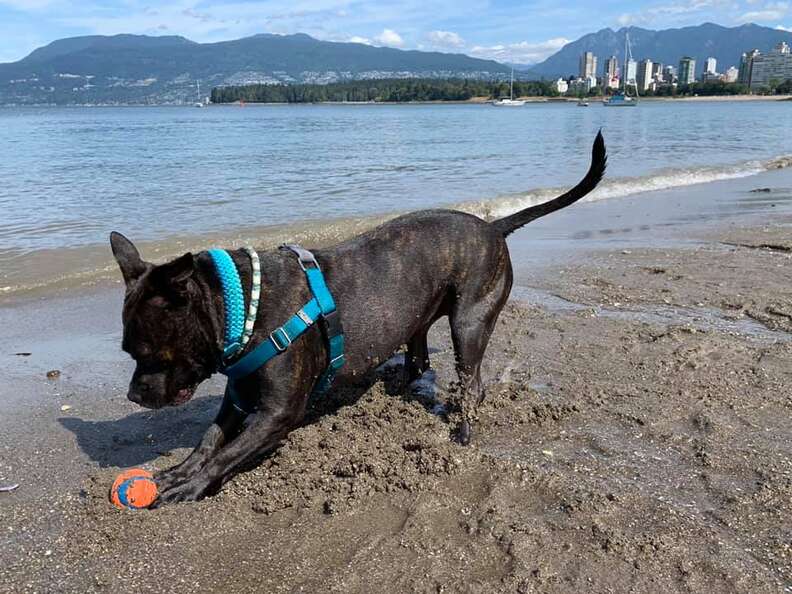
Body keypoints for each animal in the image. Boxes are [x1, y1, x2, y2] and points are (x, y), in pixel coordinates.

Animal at [111, 132, 608, 502]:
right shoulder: (237, 396)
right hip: (419, 317)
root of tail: (492, 226)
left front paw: (193, 485)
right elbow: (209, 440)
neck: (240, 307)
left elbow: (225, 453)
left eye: (148, 352)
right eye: (128, 351)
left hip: (469, 322)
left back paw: (464, 429)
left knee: (472, 383)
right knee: (420, 359)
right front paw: (180, 472)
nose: (133, 396)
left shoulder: (276, 413)